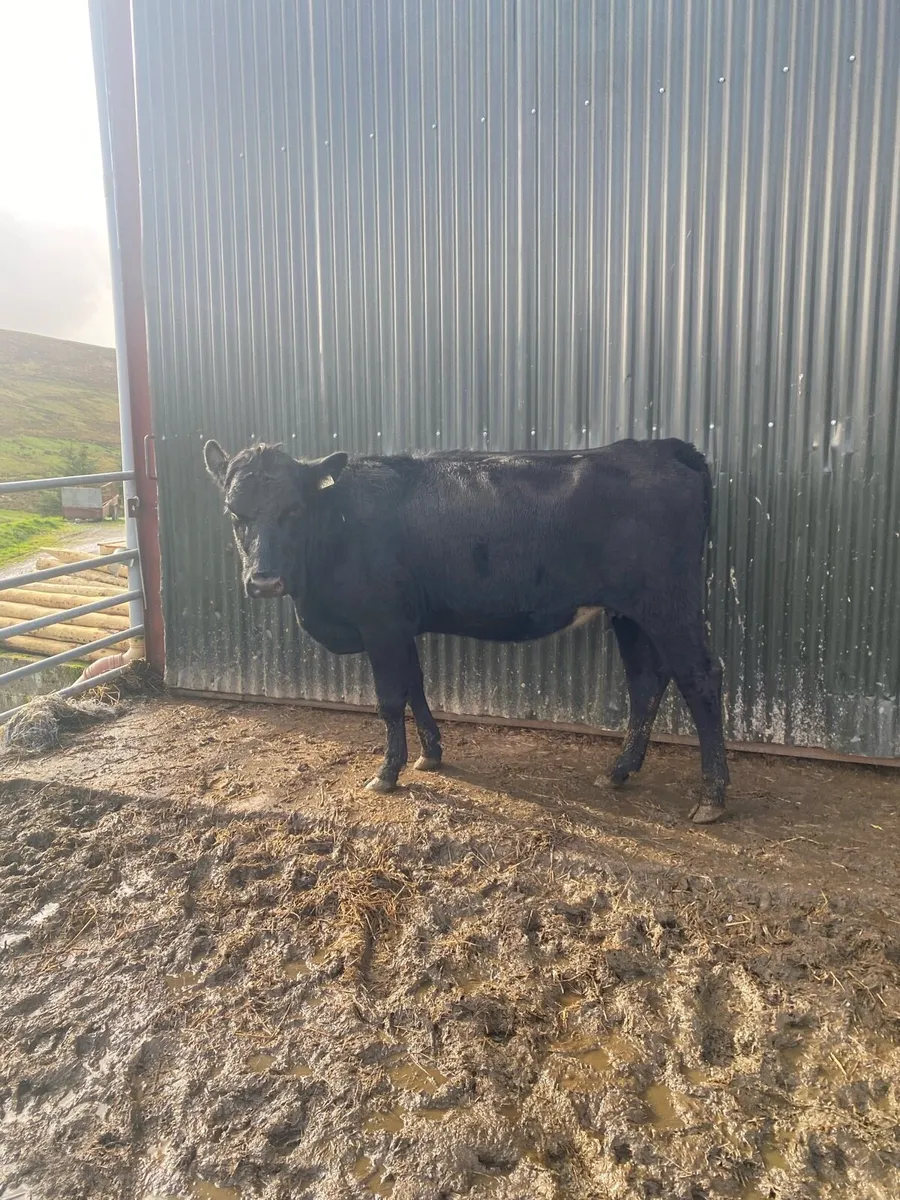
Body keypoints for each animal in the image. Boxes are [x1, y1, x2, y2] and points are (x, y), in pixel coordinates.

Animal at [203, 437, 729, 823]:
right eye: (233, 513)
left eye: (293, 509)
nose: (264, 581)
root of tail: (660, 447)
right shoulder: (402, 626)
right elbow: (415, 686)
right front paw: (431, 755)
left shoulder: (380, 624)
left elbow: (389, 699)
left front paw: (387, 772)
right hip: (630, 613)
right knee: (646, 682)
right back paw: (619, 771)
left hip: (668, 605)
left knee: (701, 678)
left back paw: (713, 798)